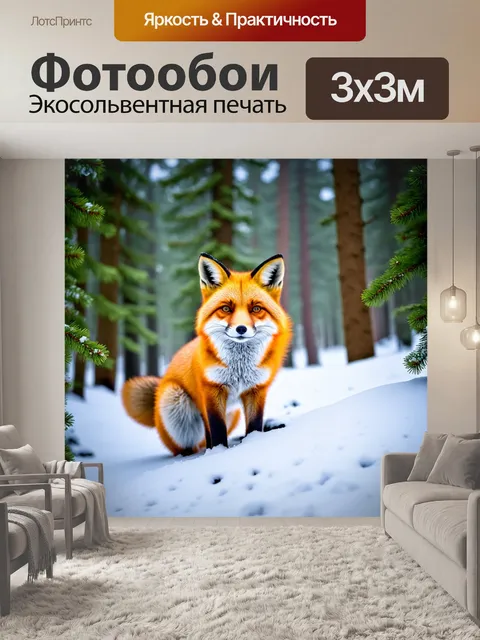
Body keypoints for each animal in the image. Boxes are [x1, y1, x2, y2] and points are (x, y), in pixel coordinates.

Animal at [121, 253, 292, 456]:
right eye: (226, 308)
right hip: (175, 402)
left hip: (232, 413)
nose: (241, 329)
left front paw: (251, 443)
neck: (239, 368)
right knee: (189, 444)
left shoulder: (256, 390)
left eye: (256, 309)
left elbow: (254, 426)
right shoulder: (211, 391)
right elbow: (216, 430)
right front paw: (217, 453)